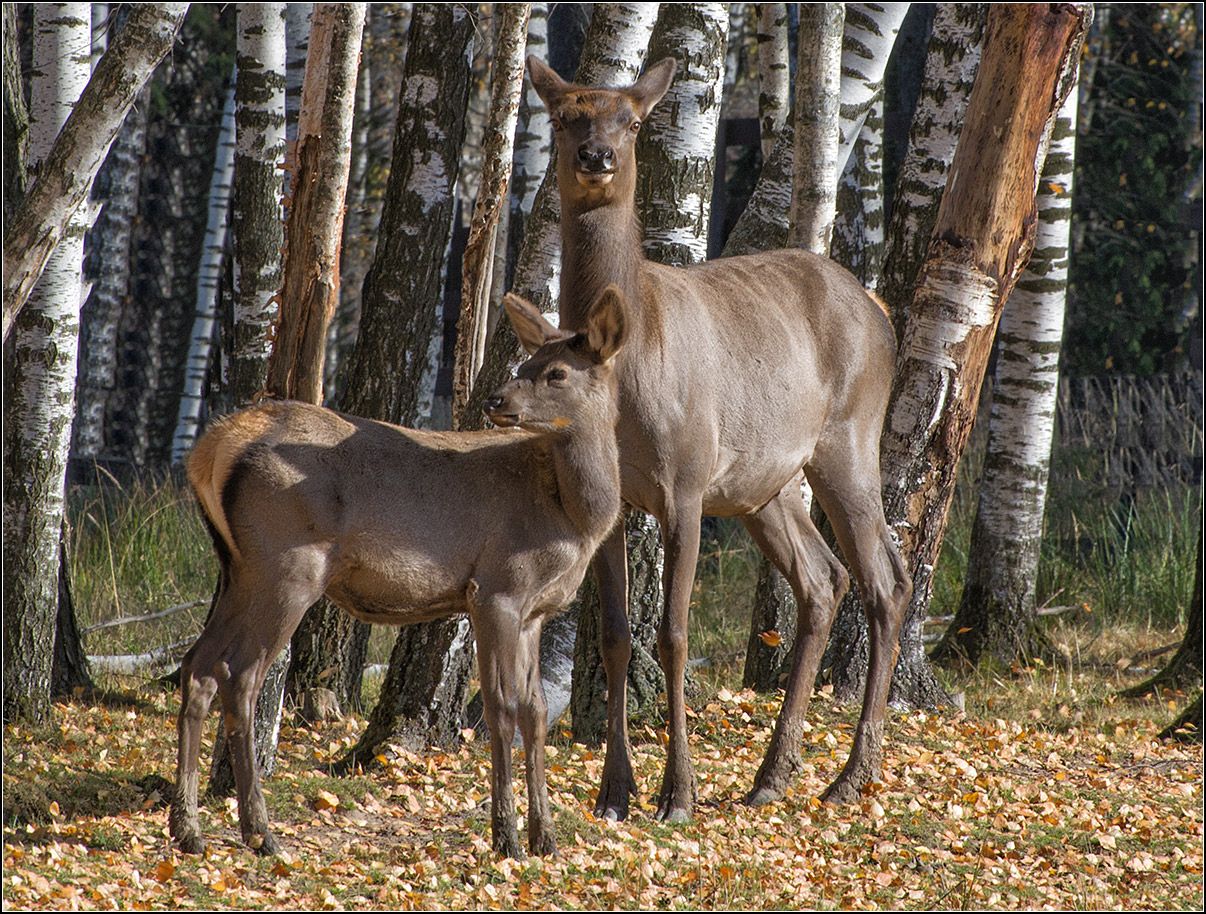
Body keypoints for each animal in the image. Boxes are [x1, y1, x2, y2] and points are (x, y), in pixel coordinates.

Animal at [173, 291, 631, 858]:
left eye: (557, 373)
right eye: (527, 365)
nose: (495, 400)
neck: (574, 518)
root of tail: (211, 448)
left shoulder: (536, 611)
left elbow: (537, 712)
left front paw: (545, 837)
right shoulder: (497, 588)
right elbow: (502, 710)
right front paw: (507, 838)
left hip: (239, 568)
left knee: (198, 665)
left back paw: (189, 828)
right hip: (286, 565)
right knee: (241, 676)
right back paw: (260, 832)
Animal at [528, 57, 911, 824]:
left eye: (631, 120)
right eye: (564, 115)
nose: (596, 157)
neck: (626, 365)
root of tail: (881, 309)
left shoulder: (686, 479)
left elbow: (673, 634)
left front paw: (678, 793)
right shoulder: (614, 495)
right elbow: (616, 637)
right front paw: (615, 791)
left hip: (849, 438)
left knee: (887, 580)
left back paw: (849, 777)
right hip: (764, 485)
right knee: (824, 580)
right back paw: (772, 776)